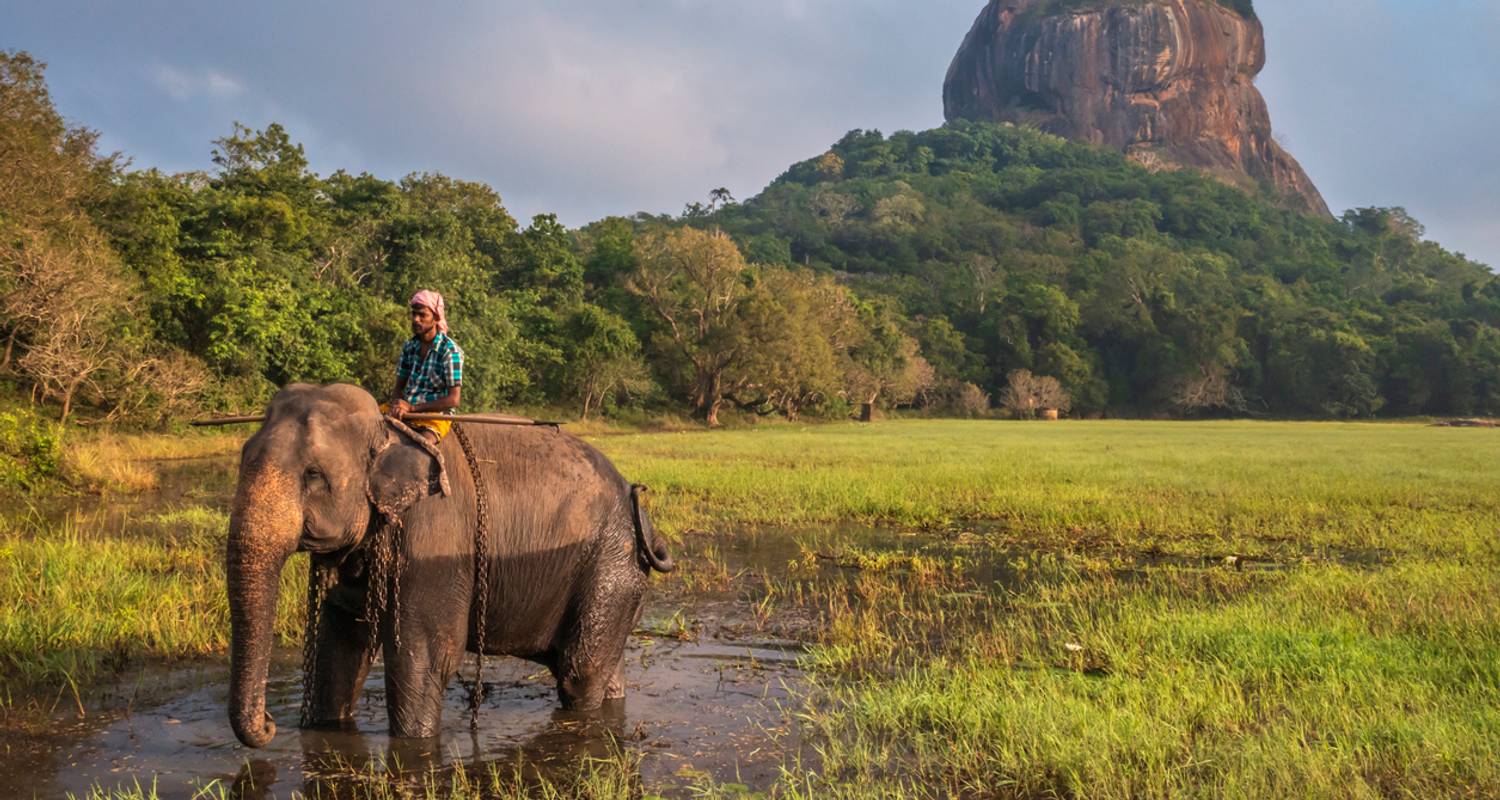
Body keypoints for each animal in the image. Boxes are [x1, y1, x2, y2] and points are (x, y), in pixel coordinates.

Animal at [223, 384, 675, 744]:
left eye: (313, 475)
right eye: (243, 460)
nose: (269, 724)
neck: (387, 431)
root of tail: (638, 509)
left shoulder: (435, 544)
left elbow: (425, 658)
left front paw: (414, 744)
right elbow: (341, 644)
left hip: (610, 566)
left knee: (579, 672)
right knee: (601, 669)